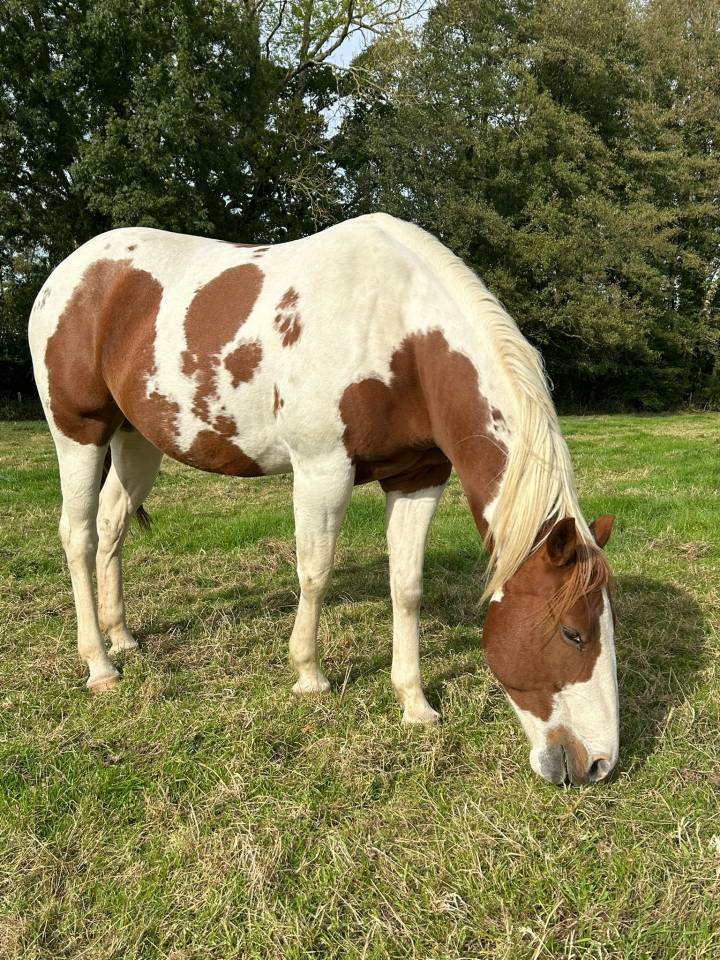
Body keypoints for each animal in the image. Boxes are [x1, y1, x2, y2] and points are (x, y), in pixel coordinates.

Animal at [28, 213, 618, 786]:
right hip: (78, 433)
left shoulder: (418, 477)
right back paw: (100, 665)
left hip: (136, 440)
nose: (597, 763)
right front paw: (309, 676)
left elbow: (407, 587)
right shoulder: (322, 469)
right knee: (79, 536)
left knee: (112, 526)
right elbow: (315, 572)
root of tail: (68, 274)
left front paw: (414, 704)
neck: (400, 334)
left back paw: (122, 636)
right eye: (573, 633)